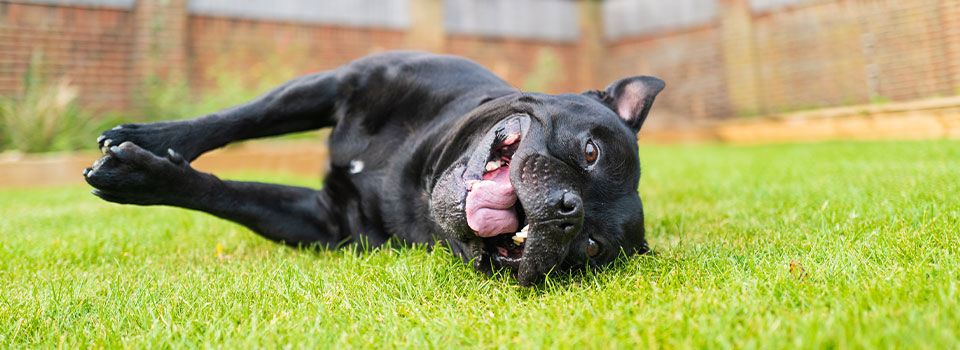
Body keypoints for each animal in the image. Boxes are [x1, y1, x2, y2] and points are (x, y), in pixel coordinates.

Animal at [84, 52, 660, 288]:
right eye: (591, 152)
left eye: (588, 248)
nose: (568, 211)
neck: (418, 171)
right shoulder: (337, 82)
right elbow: (240, 118)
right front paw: (152, 141)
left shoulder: (324, 221)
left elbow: (230, 195)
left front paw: (145, 177)